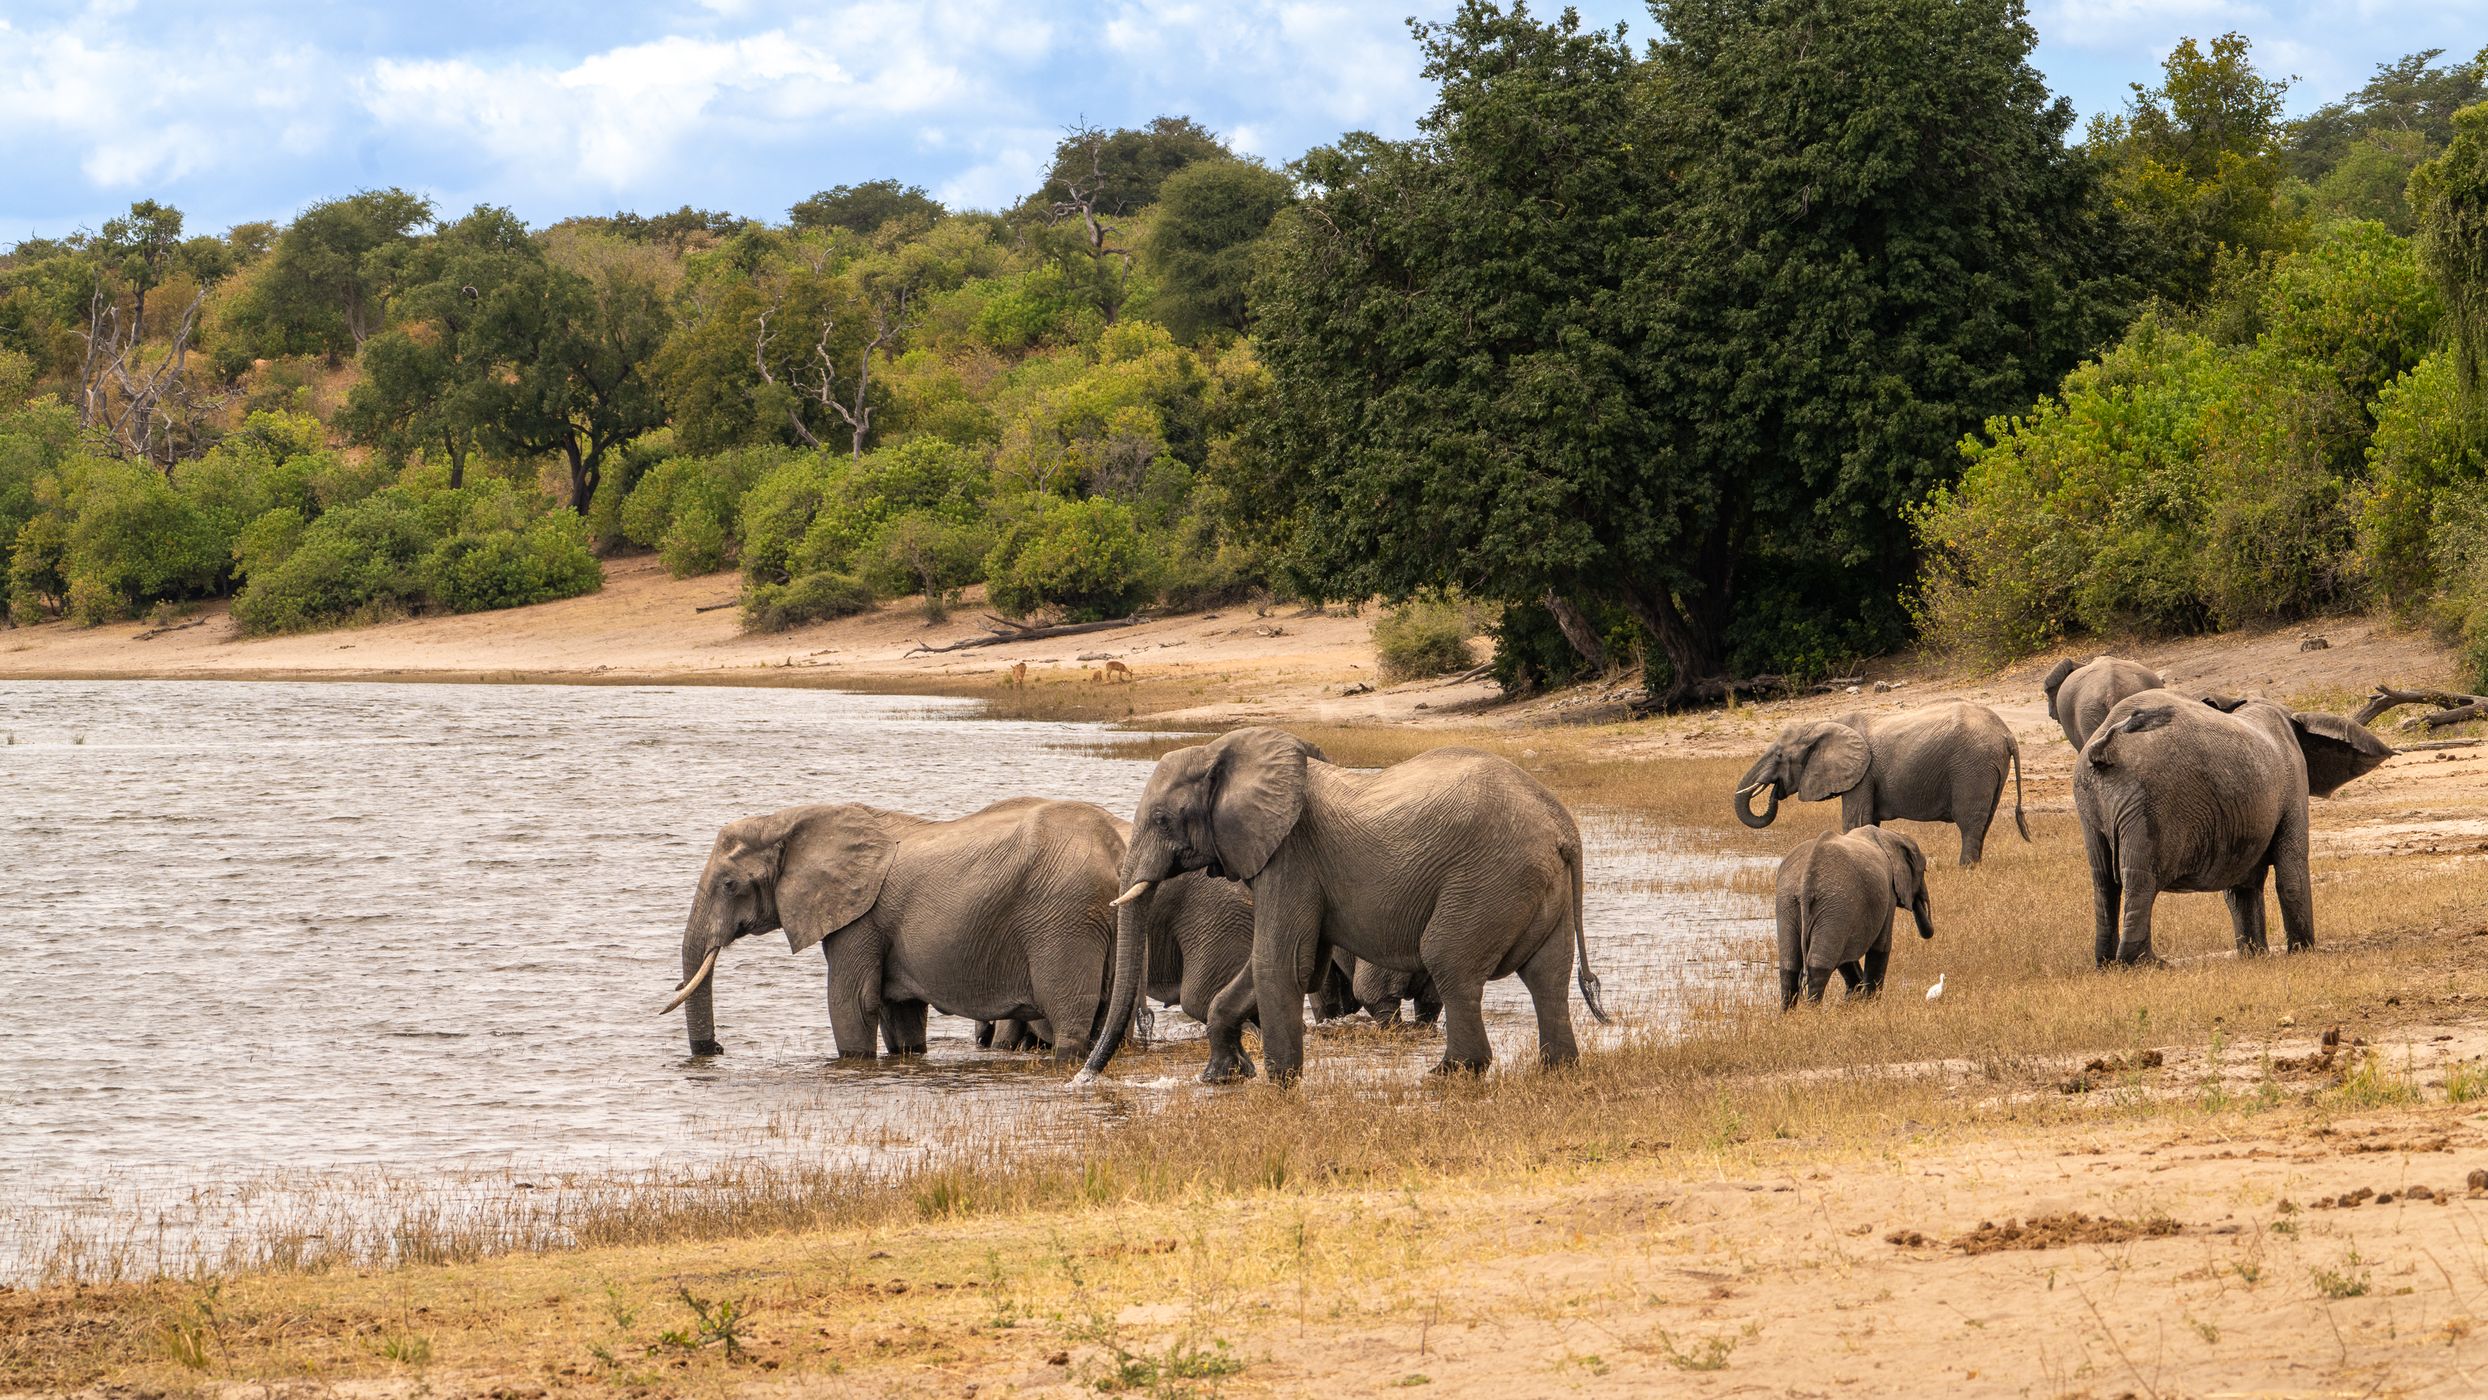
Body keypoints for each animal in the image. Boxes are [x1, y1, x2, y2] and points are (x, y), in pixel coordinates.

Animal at [1077, 727, 1608, 1085]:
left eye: (1163, 820)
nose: (1081, 1080)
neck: (1224, 752)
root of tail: (1562, 826)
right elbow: (1279, 965)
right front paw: (1220, 1079)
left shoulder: (1291, 855)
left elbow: (1279, 963)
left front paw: (1280, 1084)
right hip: (1538, 887)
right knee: (1547, 975)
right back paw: (1557, 1067)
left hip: (1488, 879)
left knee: (1450, 962)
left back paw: (1449, 1073)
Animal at [1734, 702, 2028, 866]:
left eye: (1779, 755)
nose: (1774, 790)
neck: (1822, 724)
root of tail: (2007, 733)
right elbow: (1868, 823)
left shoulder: (1863, 774)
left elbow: (1855, 821)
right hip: (1990, 767)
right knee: (1984, 821)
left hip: (1972, 766)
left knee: (1969, 823)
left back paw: (1965, 869)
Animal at [1773, 827, 1933, 1008]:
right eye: (1924, 870)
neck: (1892, 836)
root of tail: (1806, 882)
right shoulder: (1888, 893)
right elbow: (1881, 946)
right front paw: (1870, 1004)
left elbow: (1846, 954)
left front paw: (1854, 999)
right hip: (1834, 901)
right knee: (1818, 964)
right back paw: (1812, 1011)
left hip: (1788, 901)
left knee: (1790, 964)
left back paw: (1788, 1013)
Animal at [2073, 691, 2393, 965]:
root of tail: (2106, 747)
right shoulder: (2293, 786)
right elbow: (2290, 873)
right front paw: (2303, 953)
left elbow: (2241, 888)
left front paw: (2255, 956)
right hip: (2150, 803)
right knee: (2141, 880)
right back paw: (2145, 963)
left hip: (2090, 801)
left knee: (2104, 882)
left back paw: (2107, 963)